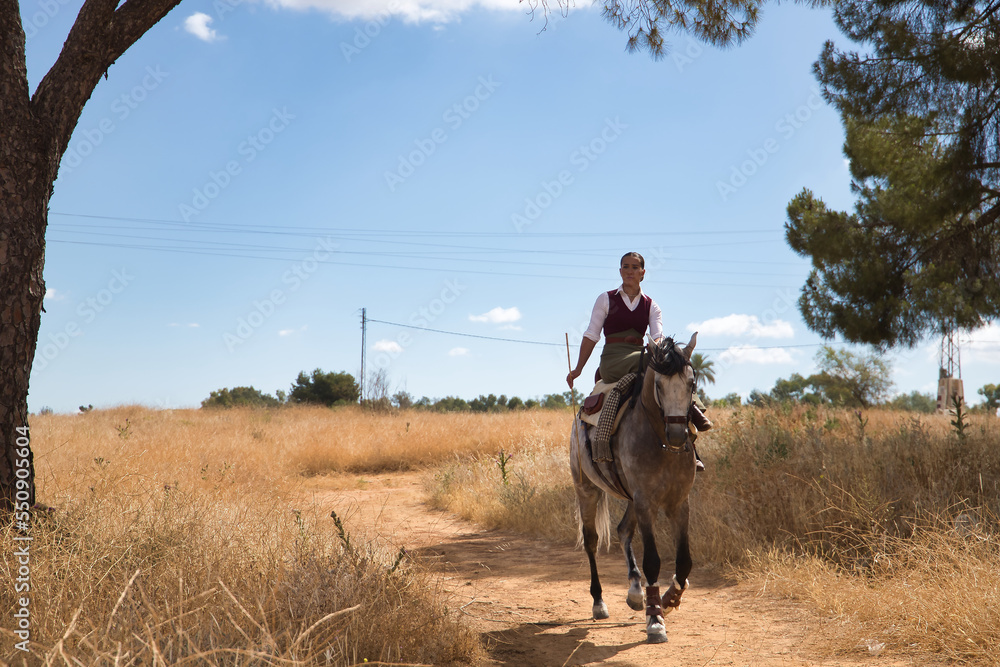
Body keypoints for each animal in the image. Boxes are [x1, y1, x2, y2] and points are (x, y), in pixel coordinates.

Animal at [569, 333, 698, 644]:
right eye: (658, 385)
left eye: (691, 384)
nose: (678, 435)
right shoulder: (645, 501)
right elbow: (652, 560)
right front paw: (655, 620)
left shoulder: (679, 503)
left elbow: (684, 562)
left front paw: (668, 599)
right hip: (587, 491)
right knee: (591, 541)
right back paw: (599, 602)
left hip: (630, 499)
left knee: (623, 530)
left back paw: (636, 591)